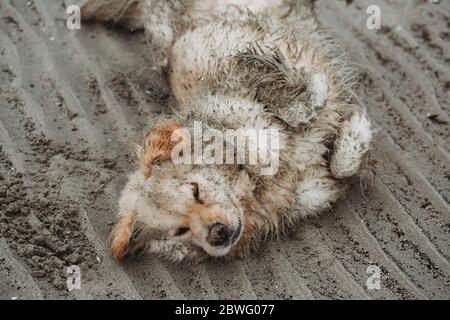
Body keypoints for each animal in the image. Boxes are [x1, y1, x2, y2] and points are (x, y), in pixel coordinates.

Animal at [81, 0, 372, 262]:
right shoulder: (314, 191)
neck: (254, 189)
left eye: (195, 191)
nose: (216, 233)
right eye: (180, 231)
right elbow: (339, 168)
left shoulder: (240, 69)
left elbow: (306, 102)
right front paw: (354, 131)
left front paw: (350, 122)